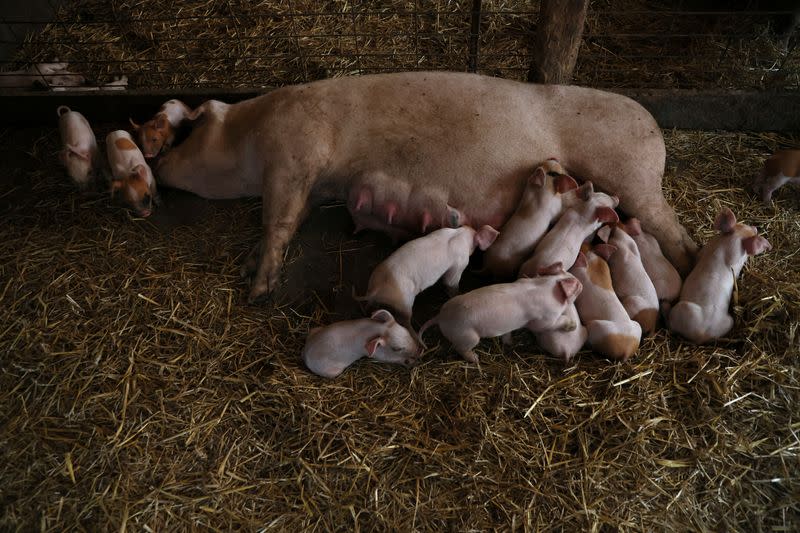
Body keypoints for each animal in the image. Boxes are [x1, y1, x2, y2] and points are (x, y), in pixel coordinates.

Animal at [155, 73, 692, 304]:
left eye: (188, 134)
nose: (157, 166)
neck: (252, 132)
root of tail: (654, 127)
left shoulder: (293, 158)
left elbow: (277, 221)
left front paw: (258, 290)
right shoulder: (307, 184)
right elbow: (288, 221)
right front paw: (249, 269)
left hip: (632, 174)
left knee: (679, 237)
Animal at [354, 223, 496, 320]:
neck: (460, 235)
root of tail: (377, 289)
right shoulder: (459, 264)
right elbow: (450, 282)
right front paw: (458, 294)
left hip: (372, 286)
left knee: (371, 305)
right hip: (403, 303)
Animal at [418, 264, 580, 362]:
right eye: (578, 287)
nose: (581, 283)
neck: (546, 286)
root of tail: (440, 317)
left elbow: (507, 333)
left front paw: (510, 343)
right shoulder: (544, 319)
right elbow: (548, 325)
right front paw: (572, 326)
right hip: (467, 336)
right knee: (460, 348)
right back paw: (475, 358)